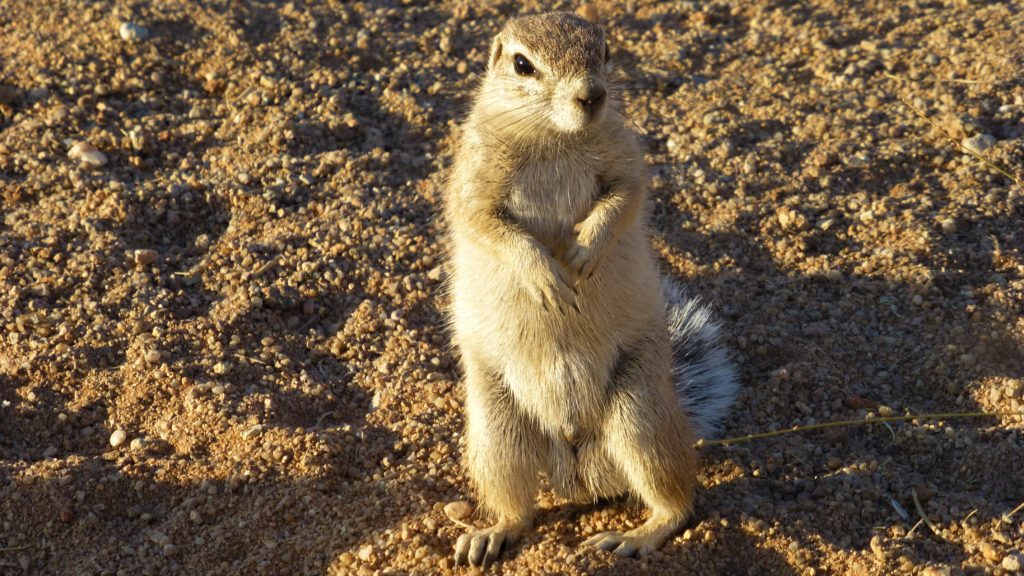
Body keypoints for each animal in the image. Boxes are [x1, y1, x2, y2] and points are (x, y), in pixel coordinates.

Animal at [442, 11, 739, 567]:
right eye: (522, 64)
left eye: (605, 51)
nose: (593, 95)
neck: (553, 137)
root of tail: (577, 471)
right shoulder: (472, 181)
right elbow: (487, 225)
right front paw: (544, 274)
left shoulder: (626, 159)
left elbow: (625, 198)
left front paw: (585, 251)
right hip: (496, 434)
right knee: (519, 509)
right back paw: (489, 534)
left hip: (640, 416)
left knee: (678, 504)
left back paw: (632, 537)